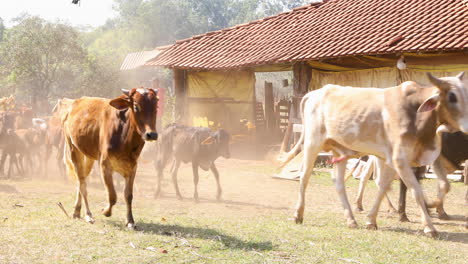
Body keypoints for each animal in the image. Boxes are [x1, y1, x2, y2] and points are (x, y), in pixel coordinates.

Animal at [62, 87, 159, 228]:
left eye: (156, 106)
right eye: (136, 106)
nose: (151, 134)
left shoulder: (132, 167)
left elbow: (128, 195)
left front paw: (130, 221)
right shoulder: (104, 165)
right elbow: (112, 195)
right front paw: (105, 211)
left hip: (89, 156)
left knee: (82, 179)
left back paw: (77, 211)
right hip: (73, 149)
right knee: (82, 183)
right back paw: (88, 215)